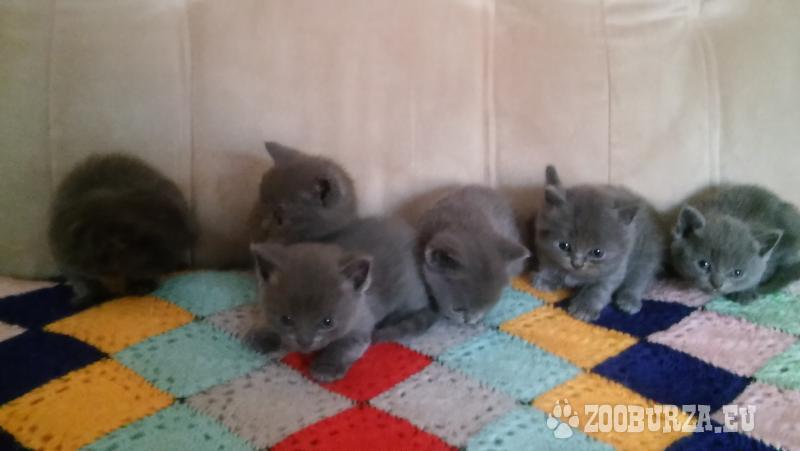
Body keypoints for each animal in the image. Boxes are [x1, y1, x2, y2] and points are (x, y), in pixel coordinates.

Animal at [49, 153, 196, 305]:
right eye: (121, 241)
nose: (169, 265)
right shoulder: (69, 261)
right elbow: (83, 281)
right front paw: (89, 296)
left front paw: (142, 285)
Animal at [250, 217, 429, 381]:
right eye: (286, 319)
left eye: (328, 322)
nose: (305, 342)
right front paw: (264, 335)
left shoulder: (362, 323)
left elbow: (344, 345)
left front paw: (326, 367)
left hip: (408, 292)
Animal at [532, 166, 663, 321]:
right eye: (563, 246)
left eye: (597, 253)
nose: (577, 264)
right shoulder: (544, 248)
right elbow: (549, 264)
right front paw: (546, 279)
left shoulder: (616, 268)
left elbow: (598, 288)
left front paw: (584, 307)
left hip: (646, 254)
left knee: (640, 278)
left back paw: (629, 300)